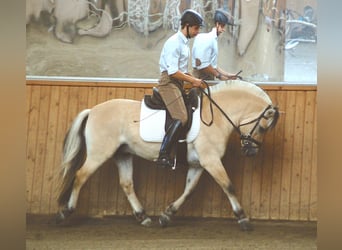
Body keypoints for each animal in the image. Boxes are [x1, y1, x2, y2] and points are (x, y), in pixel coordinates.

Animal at [54, 80, 278, 230]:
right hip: (99, 153)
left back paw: (143, 217)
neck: (215, 118)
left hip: (123, 154)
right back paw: (65, 212)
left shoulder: (198, 164)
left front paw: (166, 215)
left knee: (126, 184)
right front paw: (243, 218)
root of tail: (92, 110)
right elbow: (228, 185)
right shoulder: (211, 160)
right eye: (263, 127)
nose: (251, 151)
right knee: (80, 176)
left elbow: (189, 190)